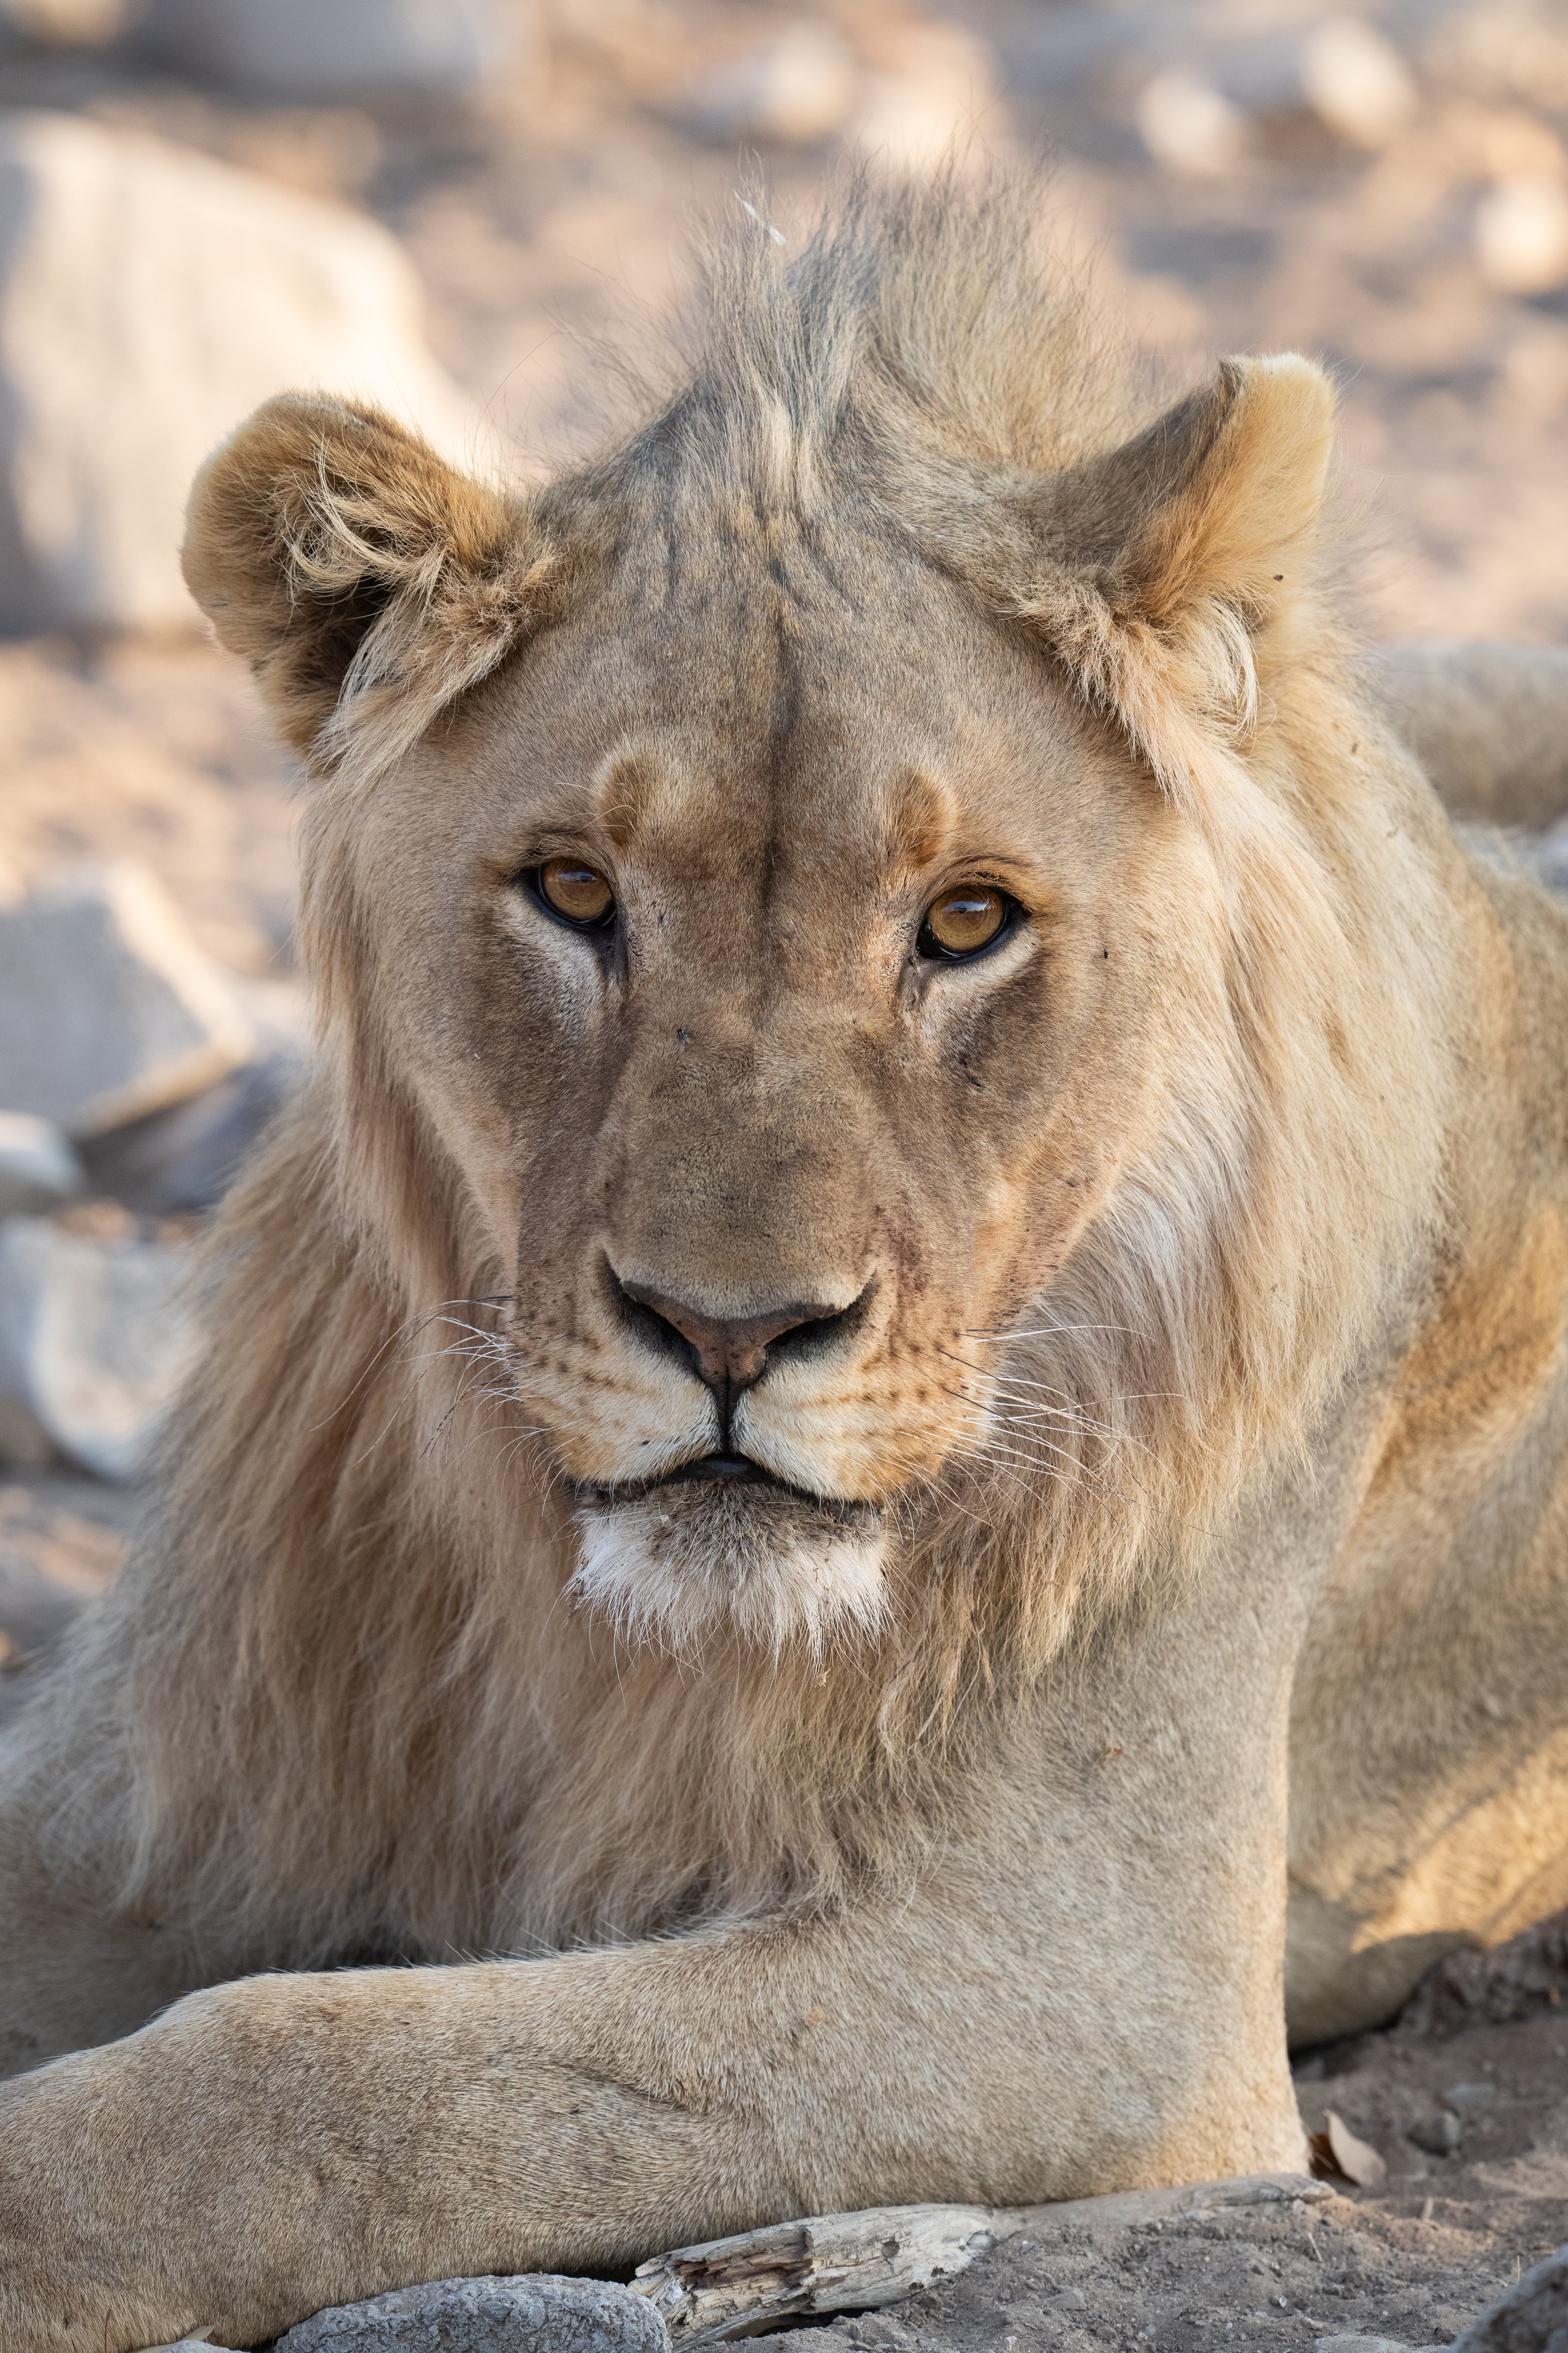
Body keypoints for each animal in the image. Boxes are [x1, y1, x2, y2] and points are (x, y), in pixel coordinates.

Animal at [2, 174, 1567, 2353]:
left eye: (968, 920)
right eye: (574, 892)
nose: (728, 1333)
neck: (577, 1619)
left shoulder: (1081, 1990)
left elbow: (318, 2078)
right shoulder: (158, 1777)